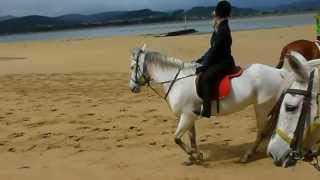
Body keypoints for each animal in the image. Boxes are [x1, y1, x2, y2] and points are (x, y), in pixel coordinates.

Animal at [129, 45, 296, 165]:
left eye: (132, 67)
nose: (132, 88)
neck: (177, 80)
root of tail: (280, 72)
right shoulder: (189, 116)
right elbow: (192, 138)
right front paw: (195, 157)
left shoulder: (187, 116)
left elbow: (176, 138)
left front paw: (195, 156)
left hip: (262, 107)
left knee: (261, 132)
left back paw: (247, 156)